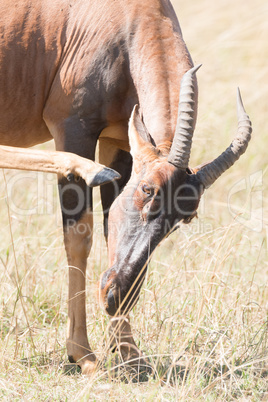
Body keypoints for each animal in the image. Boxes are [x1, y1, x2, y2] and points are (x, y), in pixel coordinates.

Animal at [0, 0, 251, 374]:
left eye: (186, 217)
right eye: (148, 190)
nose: (112, 297)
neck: (121, 19)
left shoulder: (117, 143)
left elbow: (108, 229)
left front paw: (131, 354)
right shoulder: (73, 129)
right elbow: (79, 237)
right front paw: (83, 354)